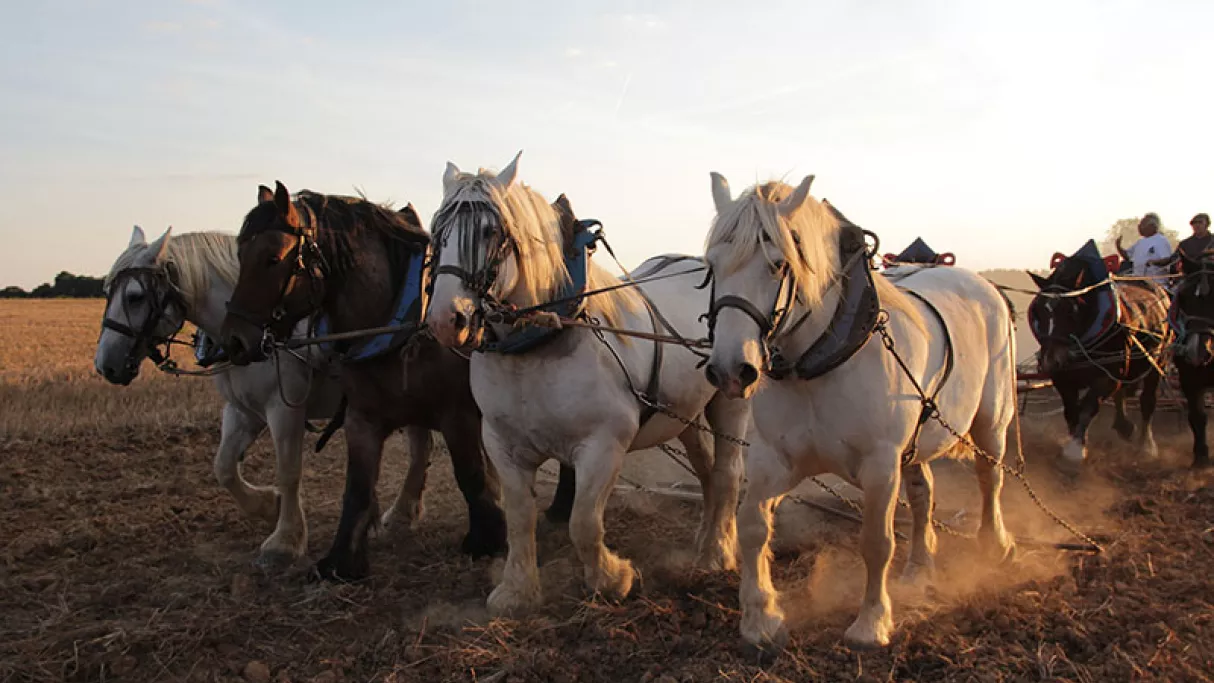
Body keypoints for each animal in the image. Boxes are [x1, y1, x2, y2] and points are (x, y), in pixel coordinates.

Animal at [94, 226, 437, 566]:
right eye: (108, 291)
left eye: (135, 297)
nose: (105, 365)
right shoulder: (242, 412)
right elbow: (224, 467)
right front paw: (267, 505)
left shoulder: (283, 409)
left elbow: (288, 471)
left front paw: (285, 541)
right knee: (421, 447)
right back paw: (402, 514)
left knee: (420, 448)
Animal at [424, 153, 749, 616]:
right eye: (438, 231)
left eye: (490, 232)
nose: (445, 320)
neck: (538, 344)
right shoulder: (503, 445)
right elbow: (520, 518)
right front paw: (517, 591)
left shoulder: (603, 444)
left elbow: (583, 521)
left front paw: (613, 579)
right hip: (683, 414)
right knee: (706, 472)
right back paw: (706, 539)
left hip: (729, 398)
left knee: (727, 472)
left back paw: (718, 553)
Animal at [701, 173, 1019, 651]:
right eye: (712, 266)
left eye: (778, 264)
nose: (729, 370)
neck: (818, 363)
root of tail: (982, 286)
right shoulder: (776, 461)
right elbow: (754, 524)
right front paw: (761, 618)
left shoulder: (880, 464)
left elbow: (876, 541)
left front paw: (871, 623)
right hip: (915, 445)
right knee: (923, 494)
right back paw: (919, 567)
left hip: (991, 421)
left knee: (989, 477)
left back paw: (994, 544)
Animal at [1026, 245, 1171, 468]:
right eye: (1039, 310)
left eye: (1071, 310)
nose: (1051, 360)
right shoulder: (1063, 377)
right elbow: (1071, 411)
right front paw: (1076, 440)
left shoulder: (1107, 375)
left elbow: (1088, 407)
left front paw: (1076, 449)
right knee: (1122, 393)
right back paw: (1123, 426)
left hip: (1157, 360)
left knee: (1147, 401)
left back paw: (1147, 445)